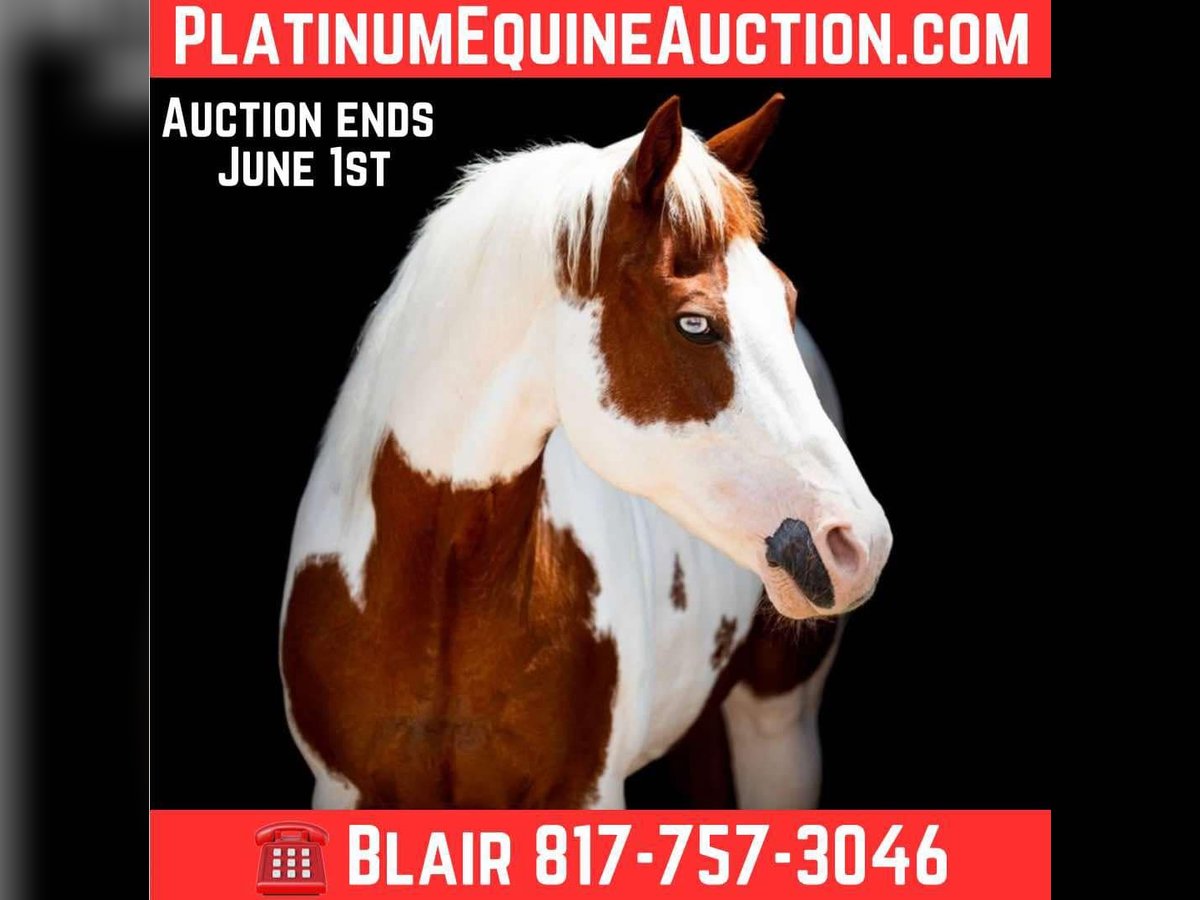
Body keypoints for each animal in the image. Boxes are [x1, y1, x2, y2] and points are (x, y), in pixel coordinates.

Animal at [279, 95, 892, 810]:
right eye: (695, 323)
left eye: (787, 300)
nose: (860, 543)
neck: (443, 588)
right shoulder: (342, 791)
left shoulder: (586, 793)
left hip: (779, 724)